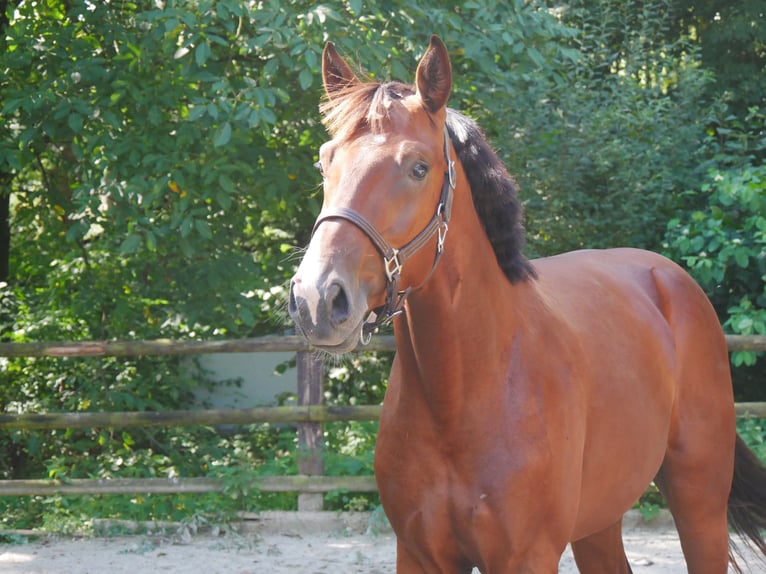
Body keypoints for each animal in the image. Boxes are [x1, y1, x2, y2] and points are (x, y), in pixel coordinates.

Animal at [290, 35, 766, 572]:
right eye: (325, 161)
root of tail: (671, 280)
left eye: (418, 168)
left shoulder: (527, 555)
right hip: (600, 519)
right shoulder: (418, 554)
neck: (464, 393)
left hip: (699, 503)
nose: (317, 298)